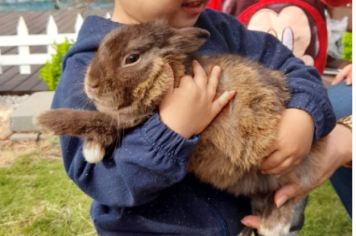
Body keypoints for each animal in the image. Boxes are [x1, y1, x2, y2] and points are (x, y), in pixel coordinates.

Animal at [34, 20, 326, 236]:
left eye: (132, 58)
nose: (91, 84)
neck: (167, 72)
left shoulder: (140, 118)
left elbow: (98, 120)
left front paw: (47, 120)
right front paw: (90, 148)